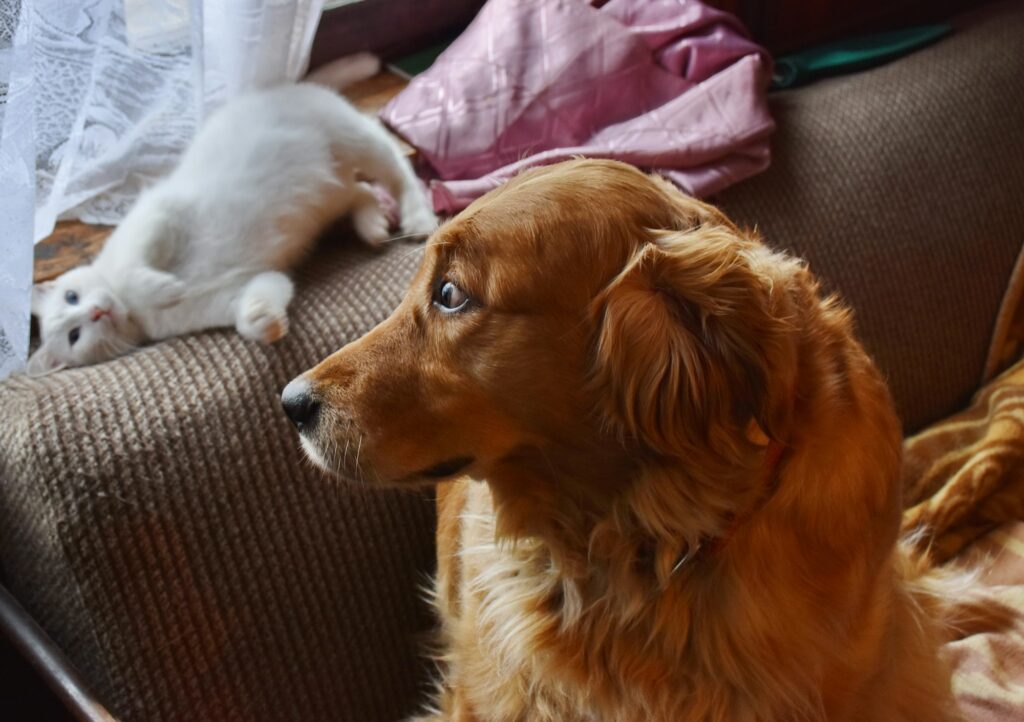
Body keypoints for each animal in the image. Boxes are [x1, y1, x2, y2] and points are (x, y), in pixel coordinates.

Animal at [28, 53, 436, 374]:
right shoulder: (243, 288)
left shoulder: (159, 214)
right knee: (361, 192)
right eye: (75, 334)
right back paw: (373, 227)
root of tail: (292, 86)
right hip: (333, 192)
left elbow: (133, 273)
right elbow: (255, 308)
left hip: (355, 139)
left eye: (72, 297)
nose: (96, 313)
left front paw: (164, 288)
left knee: (399, 169)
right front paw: (266, 325)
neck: (132, 311)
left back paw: (419, 219)